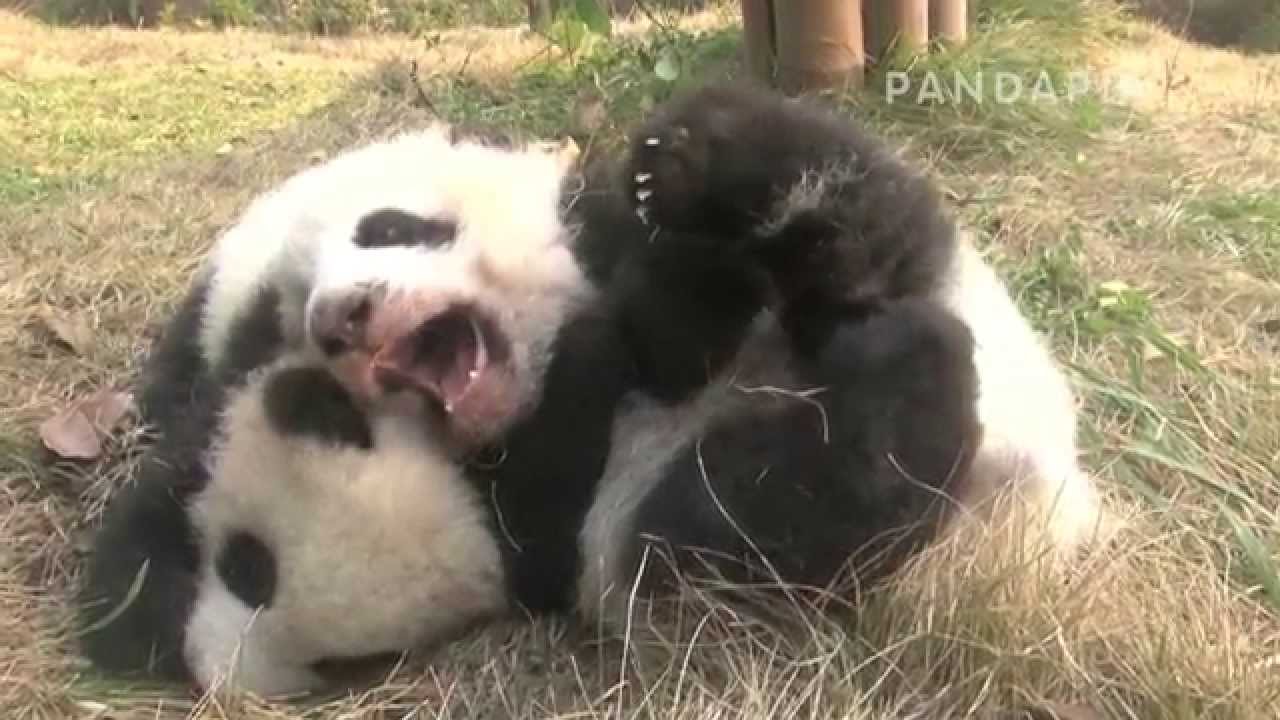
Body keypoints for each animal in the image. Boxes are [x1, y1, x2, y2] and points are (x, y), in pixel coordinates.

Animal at [78, 81, 1105, 697]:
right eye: (286, 319)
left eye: (389, 226)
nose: (341, 317)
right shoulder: (567, 521)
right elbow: (714, 538)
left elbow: (858, 202)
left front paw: (685, 166)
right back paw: (907, 370)